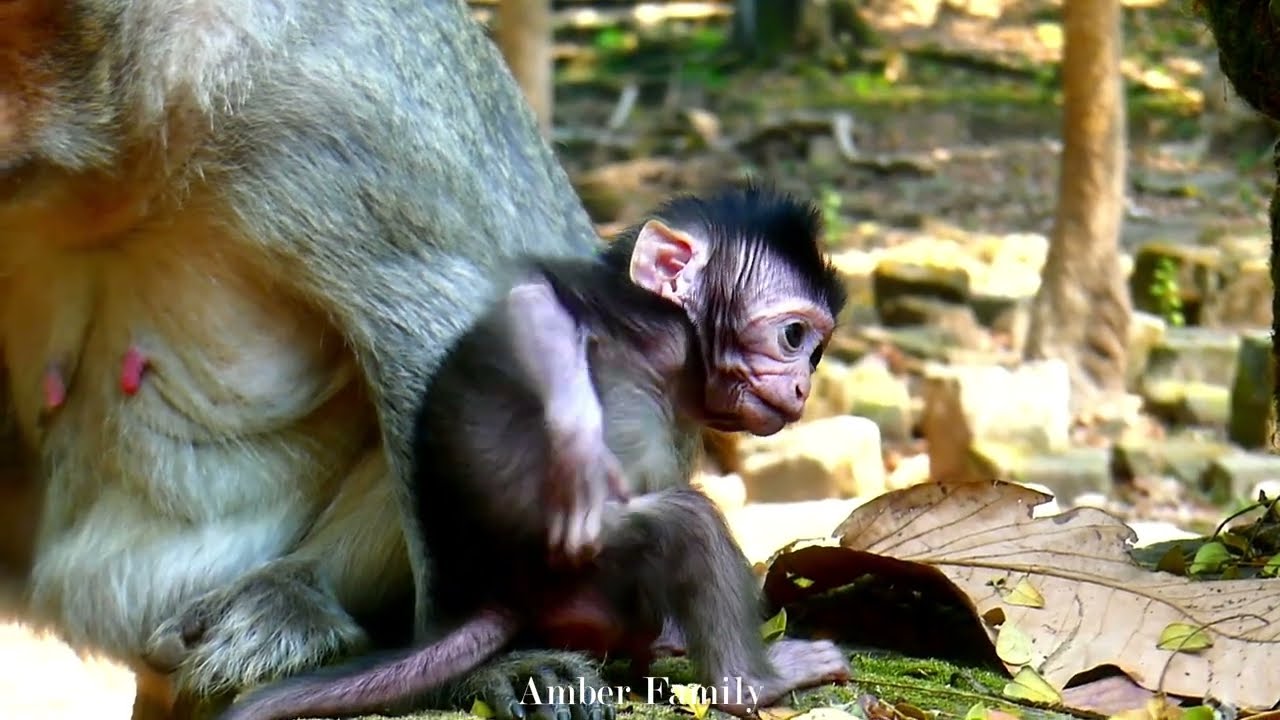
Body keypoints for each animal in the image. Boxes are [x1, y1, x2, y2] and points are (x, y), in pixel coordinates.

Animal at [217, 185, 853, 720]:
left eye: (816, 353)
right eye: (793, 336)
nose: (802, 387)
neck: (679, 357)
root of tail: (503, 595)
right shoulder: (641, 322)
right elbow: (529, 301)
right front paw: (578, 449)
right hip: (579, 573)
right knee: (687, 522)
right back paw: (752, 684)